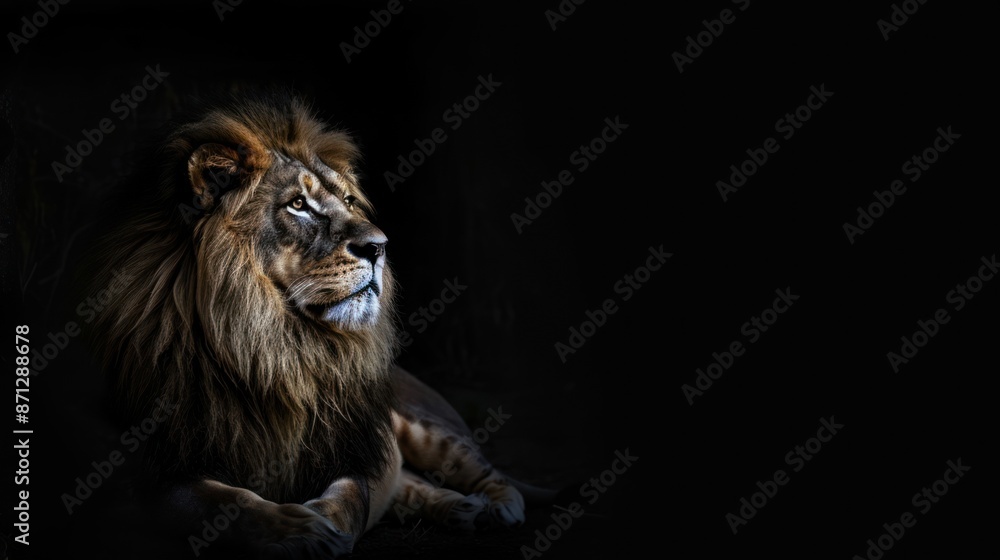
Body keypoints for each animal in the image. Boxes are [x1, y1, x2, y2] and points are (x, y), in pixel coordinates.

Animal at [87, 91, 550, 558]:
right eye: (298, 204)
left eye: (348, 201)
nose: (380, 247)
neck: (272, 348)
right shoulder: (152, 475)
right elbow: (226, 502)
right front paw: (297, 529)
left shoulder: (348, 456)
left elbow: (350, 501)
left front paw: (324, 527)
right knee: (410, 484)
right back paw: (461, 510)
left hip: (423, 427)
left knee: (487, 473)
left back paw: (495, 507)